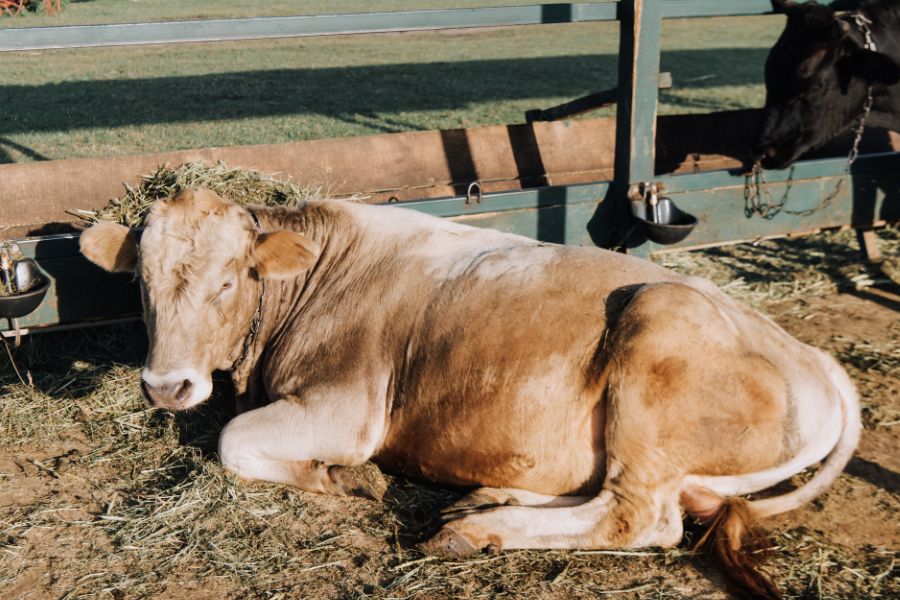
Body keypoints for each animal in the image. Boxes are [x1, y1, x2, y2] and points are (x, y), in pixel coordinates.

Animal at [79, 189, 860, 599]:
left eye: (228, 281)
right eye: (141, 283)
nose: (165, 385)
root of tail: (812, 355)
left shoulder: (348, 407)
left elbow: (233, 440)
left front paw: (344, 480)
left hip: (657, 339)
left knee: (640, 517)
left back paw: (477, 529)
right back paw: (484, 500)